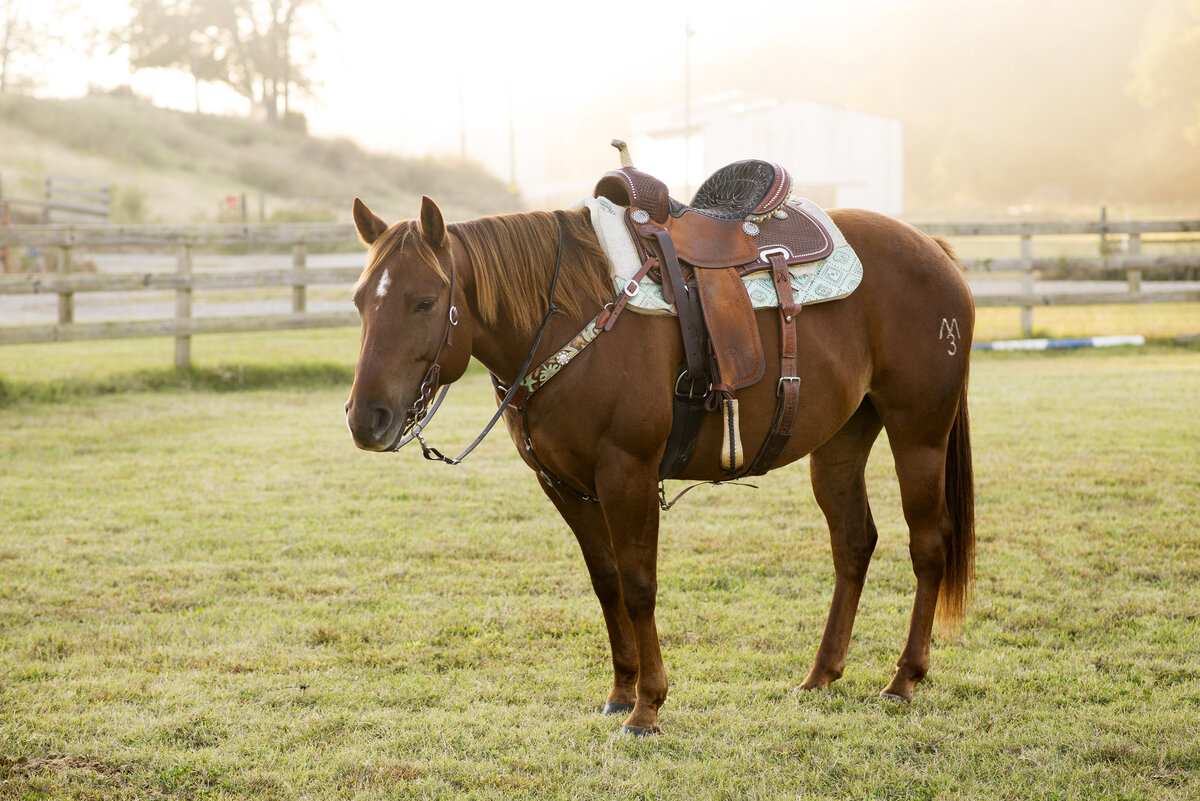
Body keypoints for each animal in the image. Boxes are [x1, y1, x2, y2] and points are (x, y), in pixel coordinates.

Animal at [345, 194, 974, 733]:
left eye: (425, 301)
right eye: (358, 301)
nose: (365, 418)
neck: (573, 315)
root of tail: (935, 249)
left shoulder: (629, 475)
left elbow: (639, 585)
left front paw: (647, 707)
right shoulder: (564, 485)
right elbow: (606, 583)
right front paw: (620, 692)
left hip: (919, 432)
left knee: (928, 545)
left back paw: (904, 679)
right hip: (842, 441)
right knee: (853, 543)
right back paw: (821, 675)